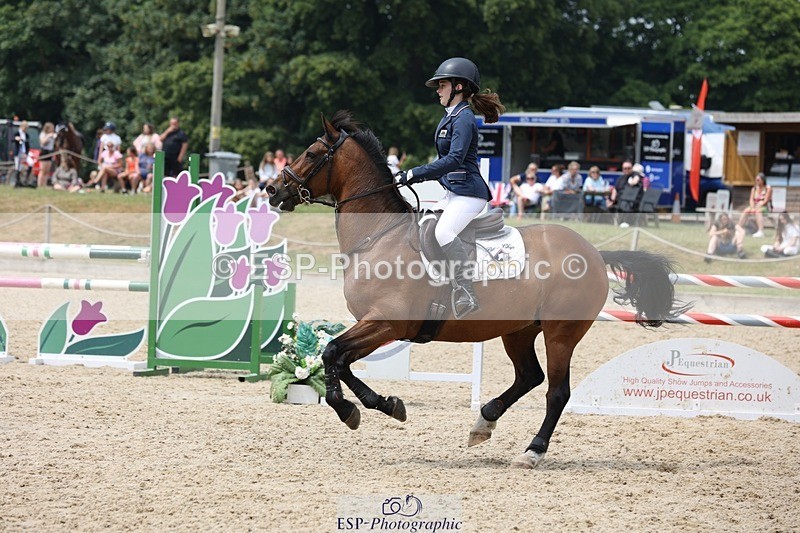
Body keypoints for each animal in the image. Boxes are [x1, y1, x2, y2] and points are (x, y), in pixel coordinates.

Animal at [267, 111, 687, 469]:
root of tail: (594, 253)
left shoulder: (386, 322)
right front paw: (382, 405)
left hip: (560, 333)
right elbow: (338, 359)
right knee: (529, 377)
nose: (272, 189)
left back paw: (532, 452)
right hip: (519, 330)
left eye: (311, 153)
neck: (379, 236)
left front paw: (352, 410)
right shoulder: (376, 324)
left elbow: (332, 354)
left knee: (556, 392)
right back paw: (483, 422)